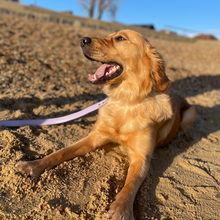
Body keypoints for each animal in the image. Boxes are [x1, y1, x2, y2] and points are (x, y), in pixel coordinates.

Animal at [15, 30, 196, 219]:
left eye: (120, 38)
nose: (83, 40)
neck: (126, 101)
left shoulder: (141, 158)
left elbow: (130, 185)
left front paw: (121, 209)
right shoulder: (94, 137)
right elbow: (61, 152)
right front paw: (33, 165)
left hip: (191, 111)